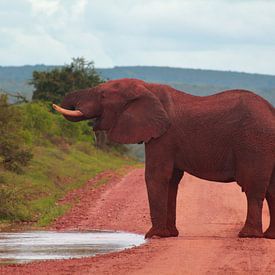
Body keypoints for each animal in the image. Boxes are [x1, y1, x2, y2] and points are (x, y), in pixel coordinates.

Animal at [53, 77, 275, 239]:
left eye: (102, 94)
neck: (147, 87)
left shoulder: (164, 136)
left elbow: (157, 176)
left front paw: (153, 236)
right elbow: (172, 180)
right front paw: (169, 235)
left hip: (255, 142)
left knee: (253, 187)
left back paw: (248, 235)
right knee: (271, 190)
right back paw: (268, 236)